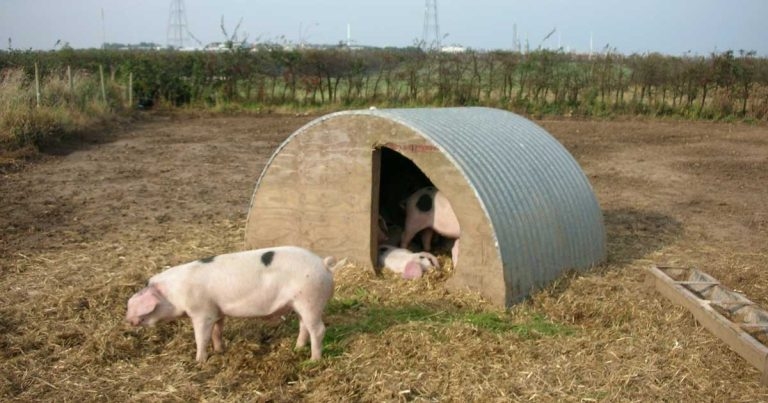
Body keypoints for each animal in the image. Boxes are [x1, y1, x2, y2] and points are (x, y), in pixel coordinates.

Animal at [125, 246, 336, 362]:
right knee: (304, 326)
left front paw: (199, 361)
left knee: (318, 330)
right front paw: (220, 351)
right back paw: (297, 348)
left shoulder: (202, 312)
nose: (127, 320)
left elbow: (201, 337)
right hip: (300, 303)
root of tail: (323, 264)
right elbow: (217, 332)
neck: (174, 293)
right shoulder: (217, 311)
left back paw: (313, 360)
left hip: (310, 299)